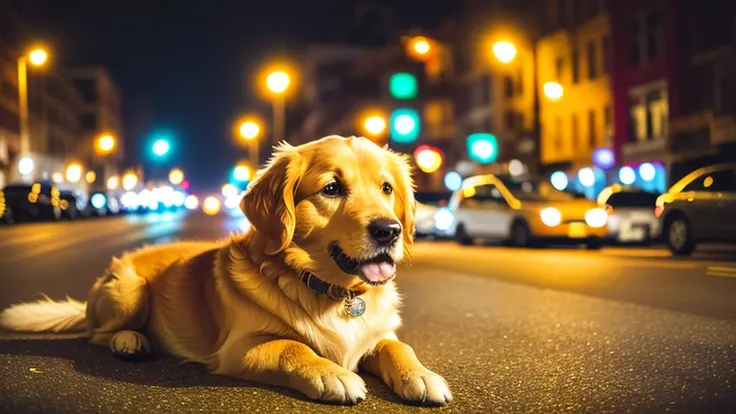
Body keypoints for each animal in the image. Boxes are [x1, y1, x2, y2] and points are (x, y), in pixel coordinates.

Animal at [0, 135, 452, 404]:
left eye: (386, 188)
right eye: (331, 188)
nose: (389, 230)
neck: (330, 291)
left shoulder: (377, 335)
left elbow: (398, 347)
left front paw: (421, 374)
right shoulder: (241, 348)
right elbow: (293, 347)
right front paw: (333, 374)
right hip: (128, 290)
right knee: (96, 334)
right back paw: (130, 340)